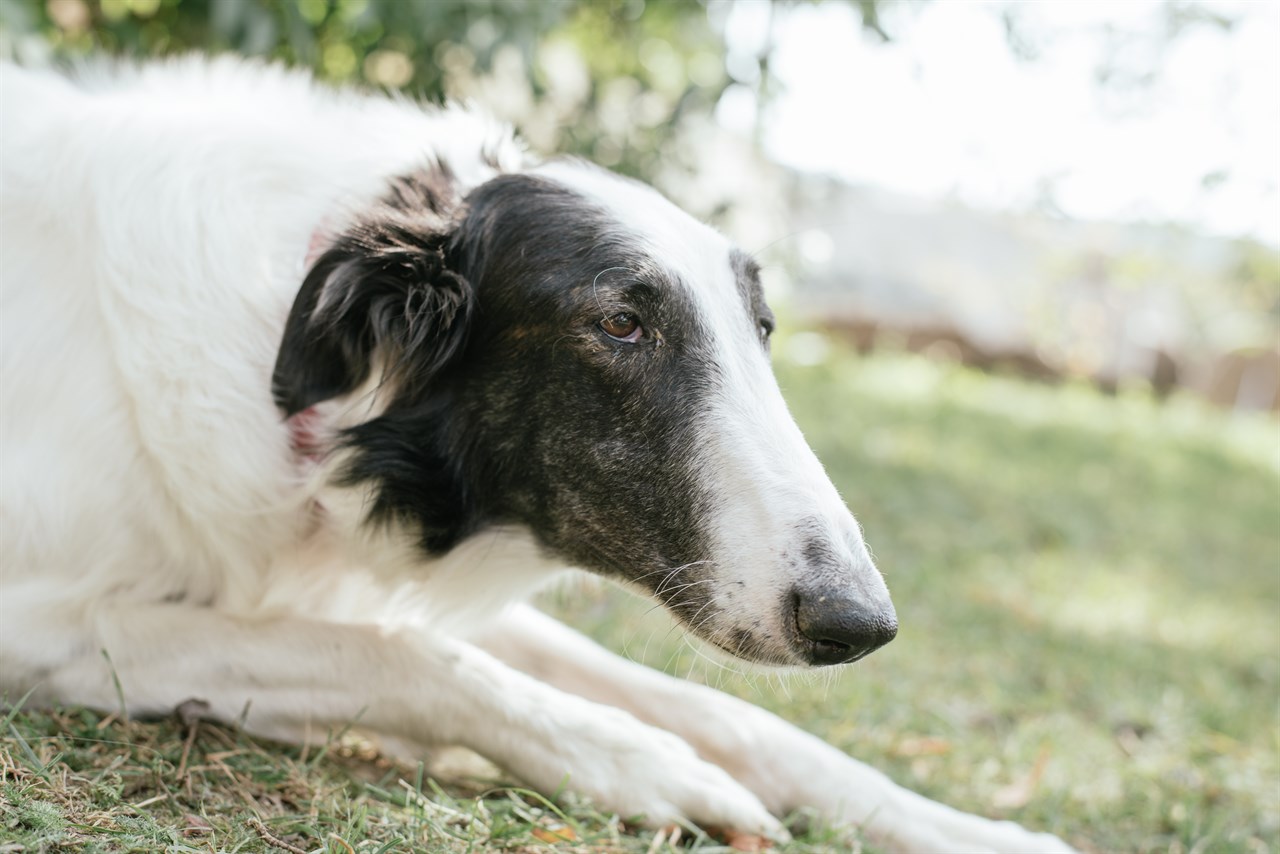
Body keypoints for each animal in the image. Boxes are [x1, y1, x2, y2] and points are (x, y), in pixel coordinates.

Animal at [0, 56, 1075, 850]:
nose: (861, 623)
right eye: (620, 323)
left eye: (762, 328)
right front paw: (648, 767)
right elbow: (403, 655)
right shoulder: (45, 622)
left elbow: (728, 713)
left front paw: (962, 827)